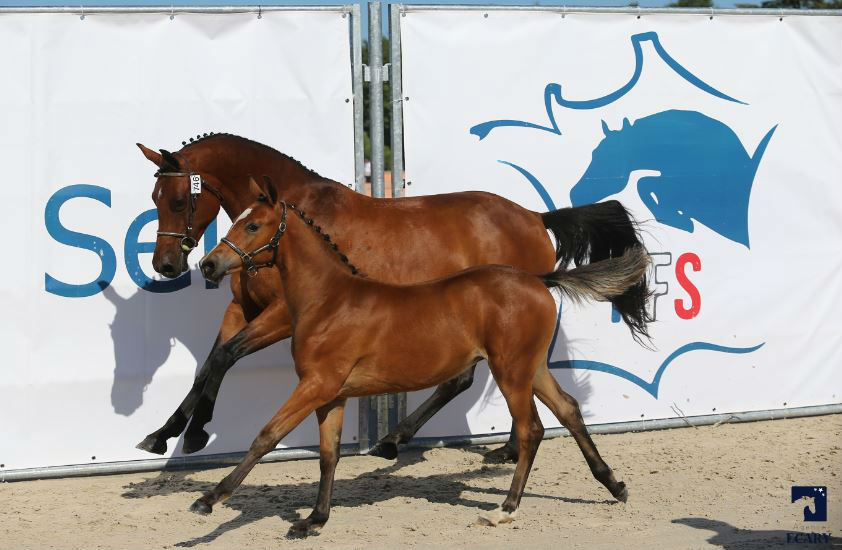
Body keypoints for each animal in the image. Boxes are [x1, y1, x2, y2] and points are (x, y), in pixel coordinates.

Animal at [135, 132, 648, 460]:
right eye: (154, 199)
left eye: (177, 200)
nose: (167, 265)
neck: (289, 220)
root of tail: (536, 217)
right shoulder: (243, 308)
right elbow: (210, 362)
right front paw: (162, 435)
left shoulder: (282, 315)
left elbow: (224, 358)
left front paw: (195, 434)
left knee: (480, 380)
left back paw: (420, 442)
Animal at [195, 180, 648, 536]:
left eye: (253, 224)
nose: (208, 264)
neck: (328, 299)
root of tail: (539, 279)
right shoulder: (332, 394)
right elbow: (328, 455)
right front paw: (315, 520)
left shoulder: (316, 384)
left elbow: (267, 435)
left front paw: (210, 499)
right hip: (530, 368)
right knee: (569, 410)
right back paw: (614, 485)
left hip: (510, 371)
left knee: (531, 430)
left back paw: (505, 508)